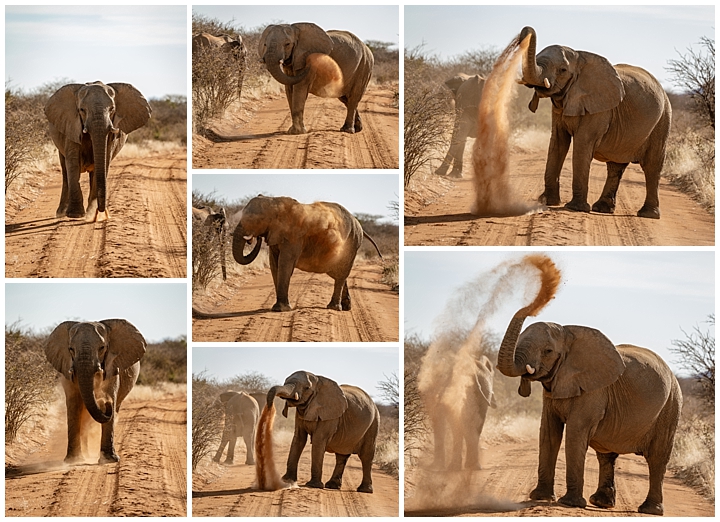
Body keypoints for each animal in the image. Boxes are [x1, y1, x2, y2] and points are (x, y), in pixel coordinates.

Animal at [44, 80, 152, 220]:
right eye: (82, 110)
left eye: (112, 109)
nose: (102, 213)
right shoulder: (72, 126)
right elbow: (73, 164)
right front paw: (75, 215)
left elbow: (103, 163)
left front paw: (90, 214)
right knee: (65, 170)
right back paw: (61, 213)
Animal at [44, 318, 147, 462]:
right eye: (71, 349)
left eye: (102, 348)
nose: (105, 402)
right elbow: (73, 404)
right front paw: (72, 460)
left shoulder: (112, 367)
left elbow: (110, 396)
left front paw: (109, 460)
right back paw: (85, 456)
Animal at [233, 194, 386, 308]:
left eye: (255, 219)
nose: (253, 238)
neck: (275, 201)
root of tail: (359, 225)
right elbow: (274, 264)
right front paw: (279, 307)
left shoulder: (294, 237)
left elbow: (284, 263)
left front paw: (280, 309)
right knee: (339, 273)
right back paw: (346, 307)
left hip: (352, 242)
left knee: (341, 273)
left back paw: (334, 307)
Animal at [498, 302, 684, 512]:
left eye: (548, 351)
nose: (534, 304)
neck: (568, 333)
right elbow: (548, 432)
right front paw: (541, 497)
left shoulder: (594, 390)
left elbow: (575, 433)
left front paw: (569, 503)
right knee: (606, 455)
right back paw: (601, 503)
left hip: (671, 405)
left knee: (657, 458)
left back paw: (649, 510)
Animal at [516, 25, 668, 217]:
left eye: (563, 70)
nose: (527, 28)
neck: (579, 56)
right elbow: (558, 142)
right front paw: (547, 202)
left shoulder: (600, 108)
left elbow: (582, 143)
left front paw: (575, 208)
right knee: (615, 166)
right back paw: (603, 209)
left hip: (662, 121)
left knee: (652, 166)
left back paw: (648, 214)